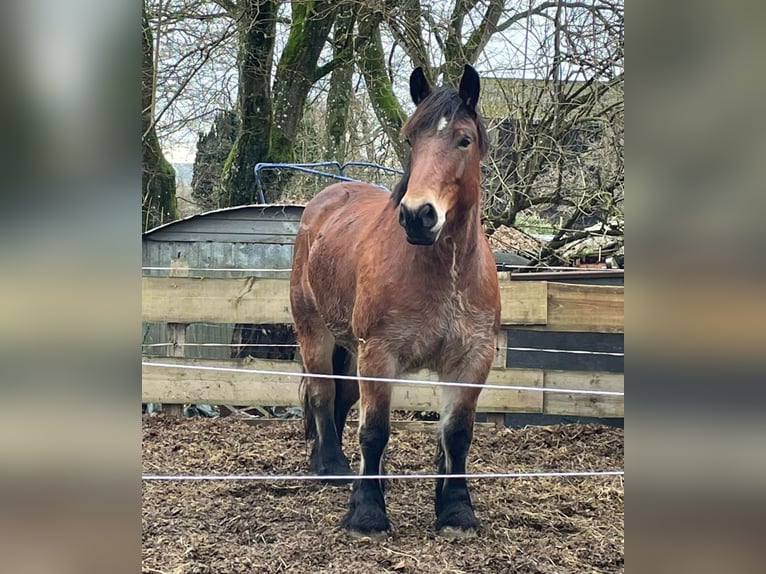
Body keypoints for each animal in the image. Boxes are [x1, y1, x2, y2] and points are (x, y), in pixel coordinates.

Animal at [292, 65, 500, 544]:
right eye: (410, 140)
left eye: (464, 139)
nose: (417, 215)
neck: (446, 273)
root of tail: (323, 203)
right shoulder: (380, 353)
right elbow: (374, 431)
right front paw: (367, 513)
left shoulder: (471, 359)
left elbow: (456, 434)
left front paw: (455, 509)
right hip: (316, 334)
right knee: (322, 393)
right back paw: (332, 466)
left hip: (350, 349)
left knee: (341, 397)